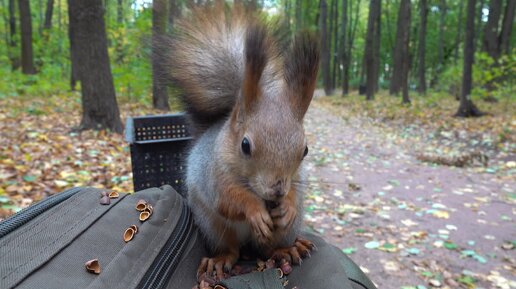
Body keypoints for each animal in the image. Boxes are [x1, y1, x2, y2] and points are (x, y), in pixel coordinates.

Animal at [164, 0, 318, 280]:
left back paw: (288, 248)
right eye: (245, 145)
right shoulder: (216, 175)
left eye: (305, 150)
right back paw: (220, 259)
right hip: (213, 226)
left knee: (269, 249)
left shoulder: (298, 177)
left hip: (285, 231)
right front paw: (255, 211)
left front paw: (287, 206)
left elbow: (295, 191)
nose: (277, 190)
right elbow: (230, 200)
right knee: (232, 249)